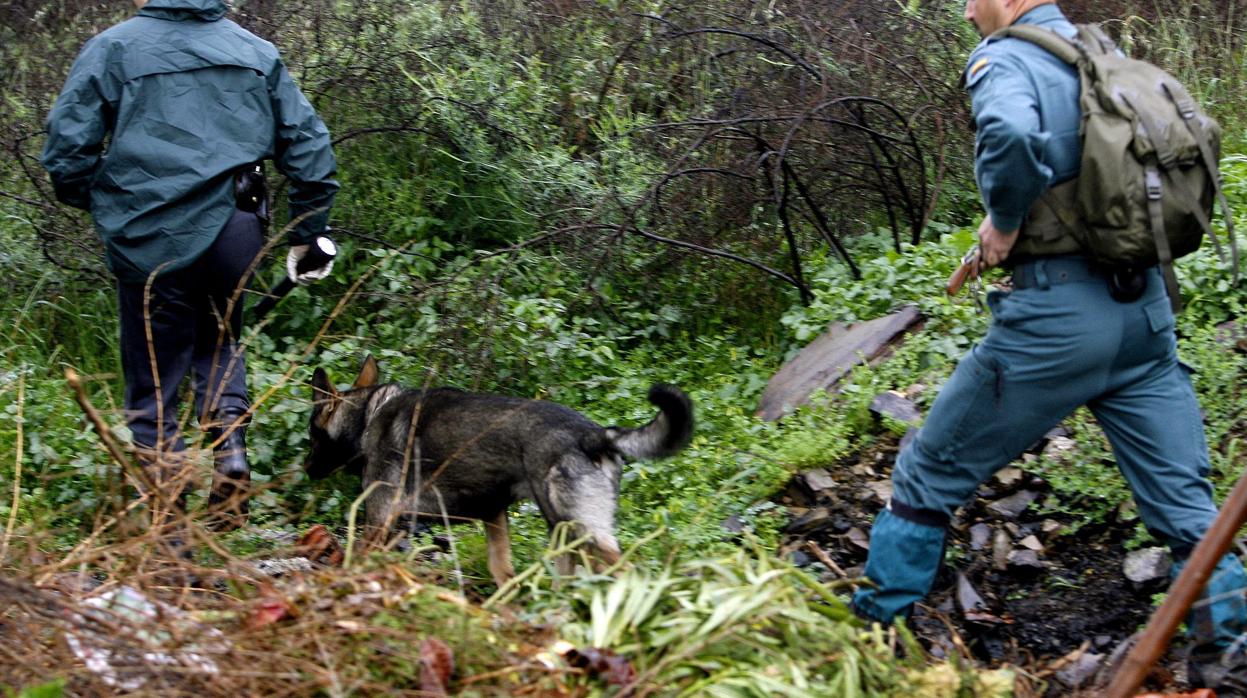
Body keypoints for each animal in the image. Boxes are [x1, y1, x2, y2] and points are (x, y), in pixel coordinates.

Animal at [301, 356, 693, 585]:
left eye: (311, 433)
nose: (305, 470)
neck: (369, 415)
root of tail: (593, 435)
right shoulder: (493, 516)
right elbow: (502, 571)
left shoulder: (379, 520)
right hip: (564, 535)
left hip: (580, 533)